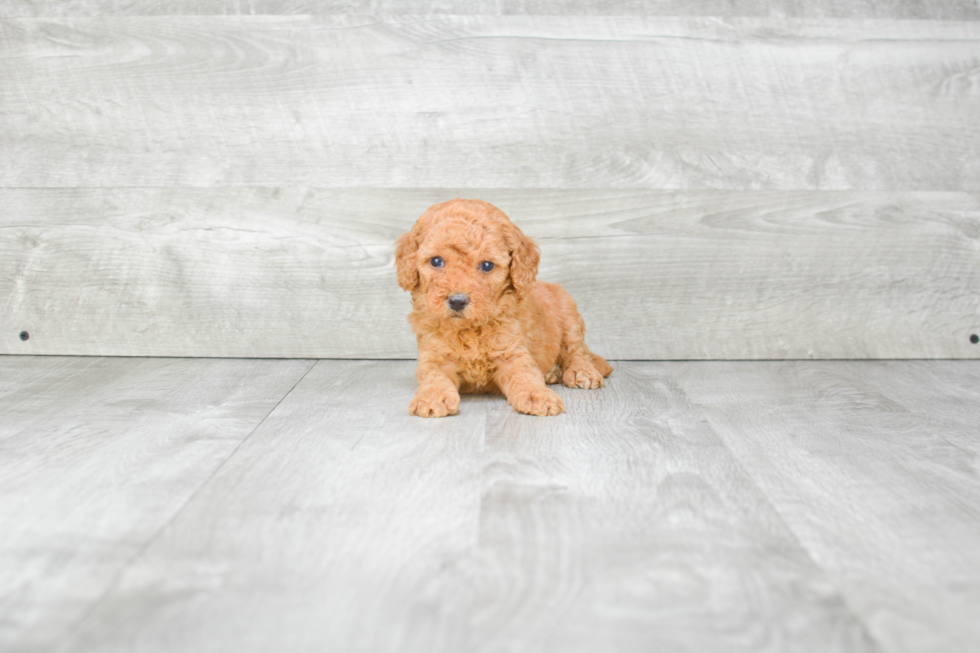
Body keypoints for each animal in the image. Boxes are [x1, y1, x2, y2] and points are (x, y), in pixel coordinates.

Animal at [392, 197, 608, 418]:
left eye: (487, 265)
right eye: (436, 261)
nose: (457, 301)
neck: (469, 329)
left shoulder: (512, 352)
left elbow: (525, 375)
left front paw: (537, 395)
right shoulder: (435, 356)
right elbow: (433, 375)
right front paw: (433, 397)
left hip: (570, 315)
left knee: (576, 352)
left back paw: (581, 371)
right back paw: (553, 373)